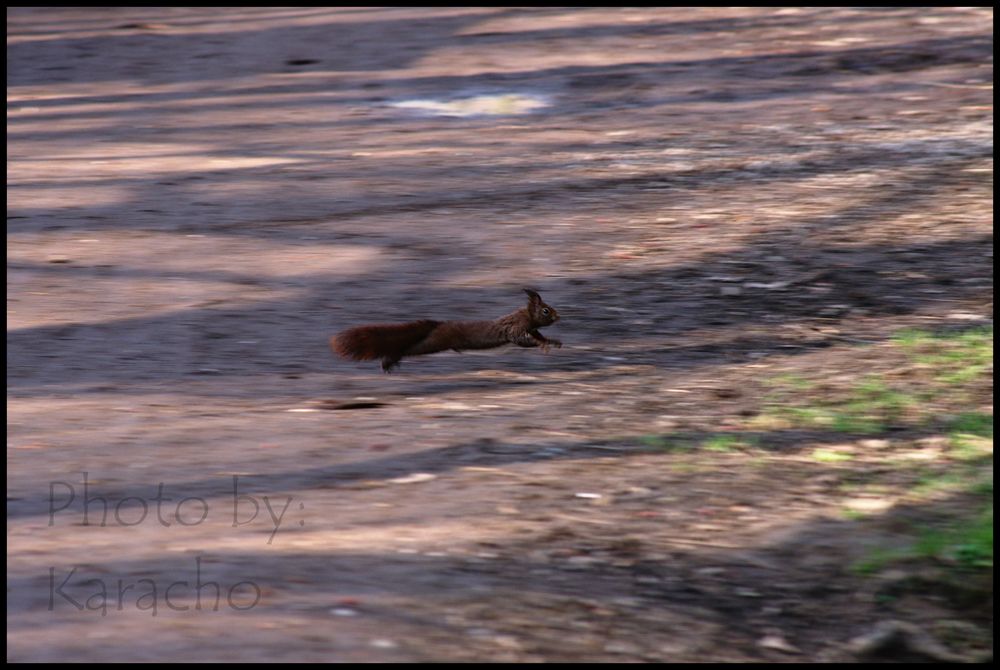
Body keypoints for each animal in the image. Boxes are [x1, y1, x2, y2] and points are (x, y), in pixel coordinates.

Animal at [330, 288, 560, 372]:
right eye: (546, 310)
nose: (559, 317)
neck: (525, 315)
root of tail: (438, 324)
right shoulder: (515, 328)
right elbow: (520, 339)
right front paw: (541, 344)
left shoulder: (529, 327)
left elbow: (537, 334)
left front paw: (551, 341)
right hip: (437, 341)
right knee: (410, 348)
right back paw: (389, 360)